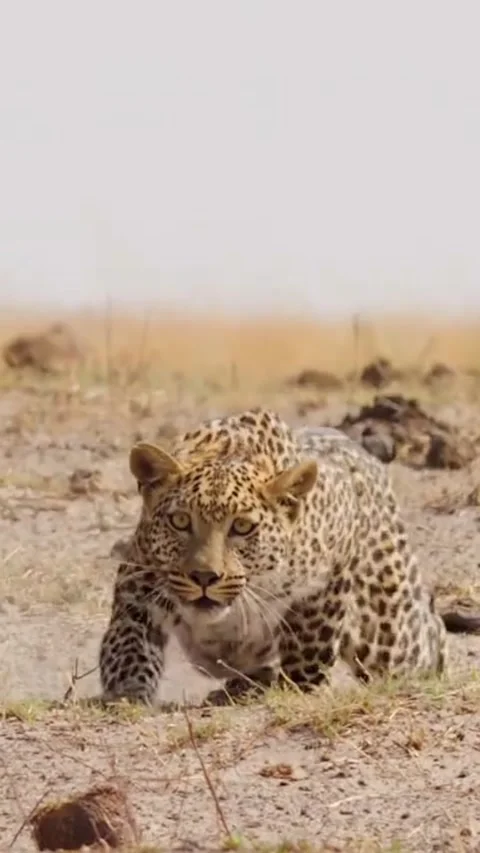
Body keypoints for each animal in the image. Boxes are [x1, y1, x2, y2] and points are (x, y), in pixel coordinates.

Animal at [99, 407, 480, 706]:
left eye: (242, 527)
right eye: (179, 521)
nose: (205, 577)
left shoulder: (327, 576)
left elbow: (310, 643)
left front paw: (301, 689)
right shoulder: (139, 577)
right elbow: (127, 637)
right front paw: (126, 690)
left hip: (386, 630)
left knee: (426, 634)